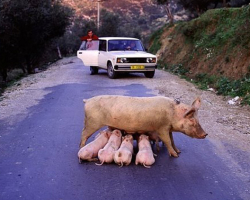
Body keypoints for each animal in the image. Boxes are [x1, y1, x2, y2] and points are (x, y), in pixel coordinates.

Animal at [79, 95, 207, 158]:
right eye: (191, 119)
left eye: (198, 118)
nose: (205, 134)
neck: (172, 113)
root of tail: (87, 101)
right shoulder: (161, 128)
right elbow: (167, 141)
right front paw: (175, 156)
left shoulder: (168, 128)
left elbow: (172, 140)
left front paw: (178, 151)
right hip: (92, 122)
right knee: (83, 133)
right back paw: (81, 147)